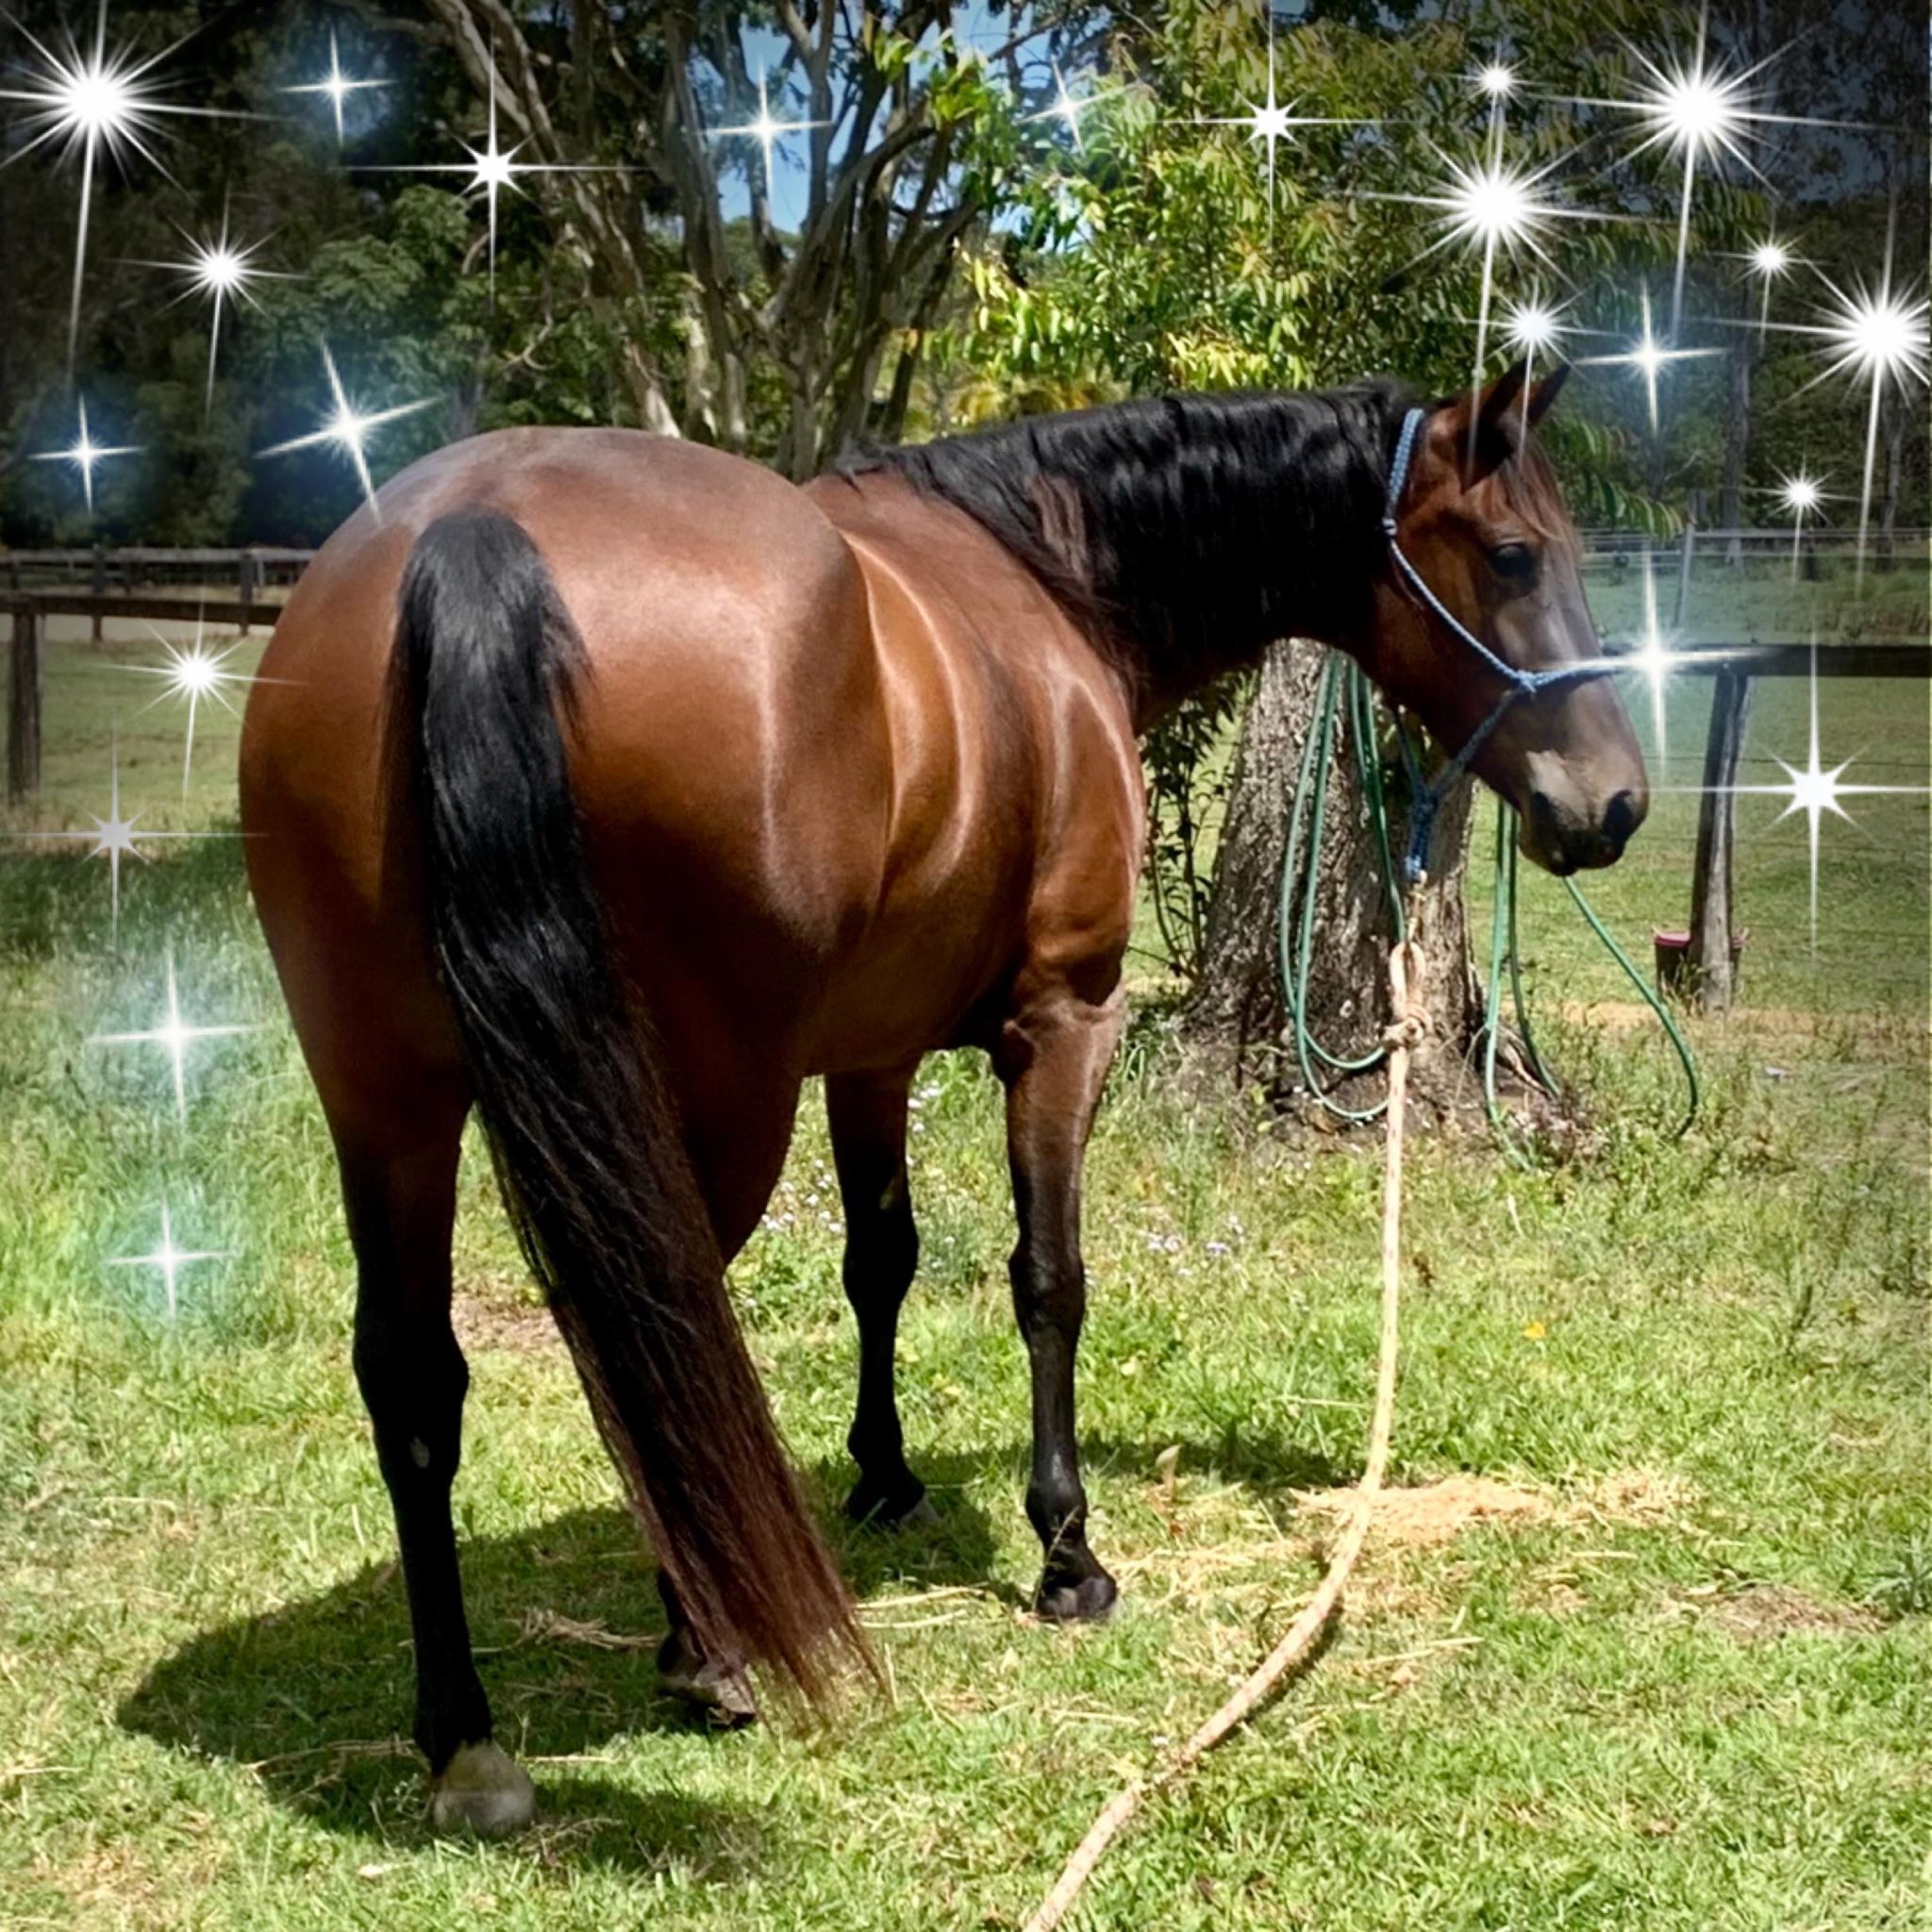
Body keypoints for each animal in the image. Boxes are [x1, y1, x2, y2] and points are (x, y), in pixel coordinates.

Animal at [238, 359, 1646, 1834]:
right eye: (1513, 553)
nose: (1613, 802)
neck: (1042, 577)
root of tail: (474, 527)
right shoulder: (1062, 1023)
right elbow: (1048, 1280)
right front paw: (1066, 1550)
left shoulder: (870, 1054)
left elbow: (882, 1259)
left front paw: (886, 1474)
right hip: (706, 1103)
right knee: (653, 1329)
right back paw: (706, 1646)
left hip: (387, 1106)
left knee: (419, 1378)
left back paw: (464, 1733)